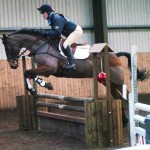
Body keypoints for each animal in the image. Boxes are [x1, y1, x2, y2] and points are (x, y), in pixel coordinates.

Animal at [1, 28, 150, 126]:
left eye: (8, 47)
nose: (13, 65)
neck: (40, 46)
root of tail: (115, 55)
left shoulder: (49, 69)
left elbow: (27, 73)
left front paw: (37, 88)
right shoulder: (45, 69)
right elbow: (30, 74)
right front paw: (43, 86)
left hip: (116, 81)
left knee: (126, 97)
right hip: (107, 82)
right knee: (118, 97)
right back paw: (124, 122)